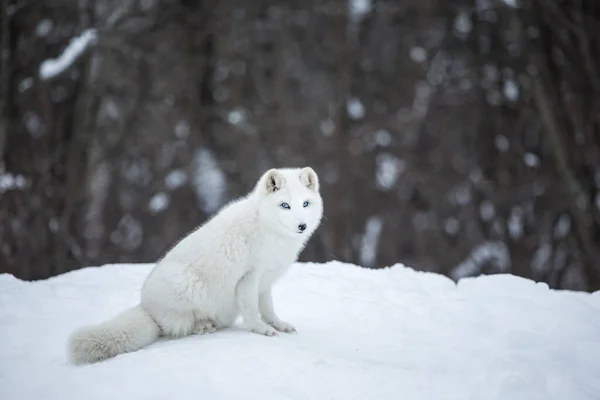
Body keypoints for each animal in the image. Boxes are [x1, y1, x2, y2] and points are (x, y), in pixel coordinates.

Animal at [68, 167, 324, 364]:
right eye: (285, 205)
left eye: (305, 204)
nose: (301, 226)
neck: (268, 228)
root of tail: (147, 309)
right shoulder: (249, 278)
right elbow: (252, 311)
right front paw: (261, 330)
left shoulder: (265, 282)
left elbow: (269, 309)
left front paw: (279, 325)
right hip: (188, 285)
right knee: (177, 328)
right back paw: (202, 326)